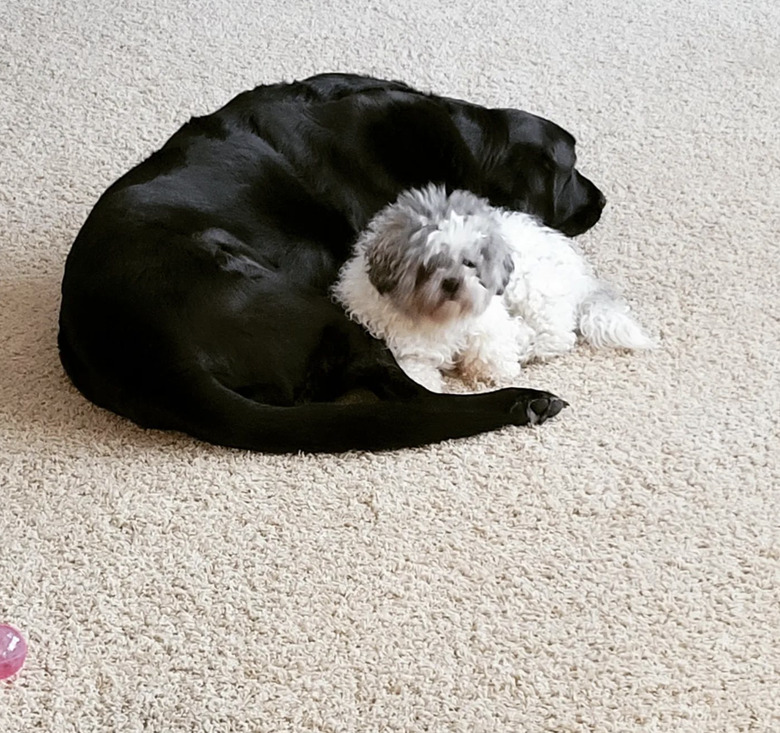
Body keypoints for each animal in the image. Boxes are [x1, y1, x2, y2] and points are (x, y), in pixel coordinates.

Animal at [59, 74, 608, 452]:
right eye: (570, 170)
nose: (602, 200)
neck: (464, 145)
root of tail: (158, 358)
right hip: (321, 311)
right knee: (407, 395)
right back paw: (524, 400)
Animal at [332, 186, 656, 392]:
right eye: (429, 265)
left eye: (469, 262)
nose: (453, 282)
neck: (440, 317)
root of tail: (581, 275)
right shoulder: (407, 349)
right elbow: (418, 372)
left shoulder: (487, 320)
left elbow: (489, 347)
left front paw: (496, 371)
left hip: (532, 290)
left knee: (557, 335)